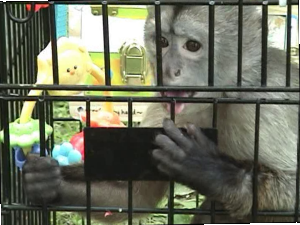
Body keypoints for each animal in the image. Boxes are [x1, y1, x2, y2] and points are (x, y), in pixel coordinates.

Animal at [22, 0, 298, 224]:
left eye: (192, 45)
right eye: (162, 42)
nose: (166, 69)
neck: (221, 97)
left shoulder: (266, 103)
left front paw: (208, 171)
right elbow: (137, 195)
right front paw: (48, 182)